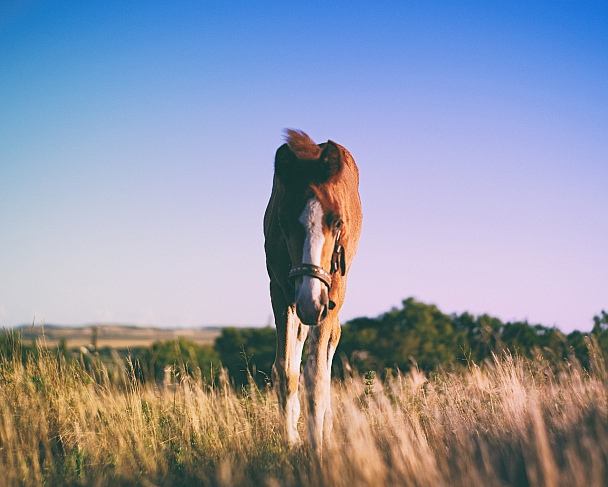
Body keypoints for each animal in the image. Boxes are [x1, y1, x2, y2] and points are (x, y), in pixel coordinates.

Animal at [262, 130, 360, 450]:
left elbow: (316, 376)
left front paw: (318, 447)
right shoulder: (280, 291)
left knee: (330, 345)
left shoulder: (331, 294)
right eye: (282, 222)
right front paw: (291, 439)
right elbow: (285, 371)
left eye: (338, 221)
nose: (312, 303)